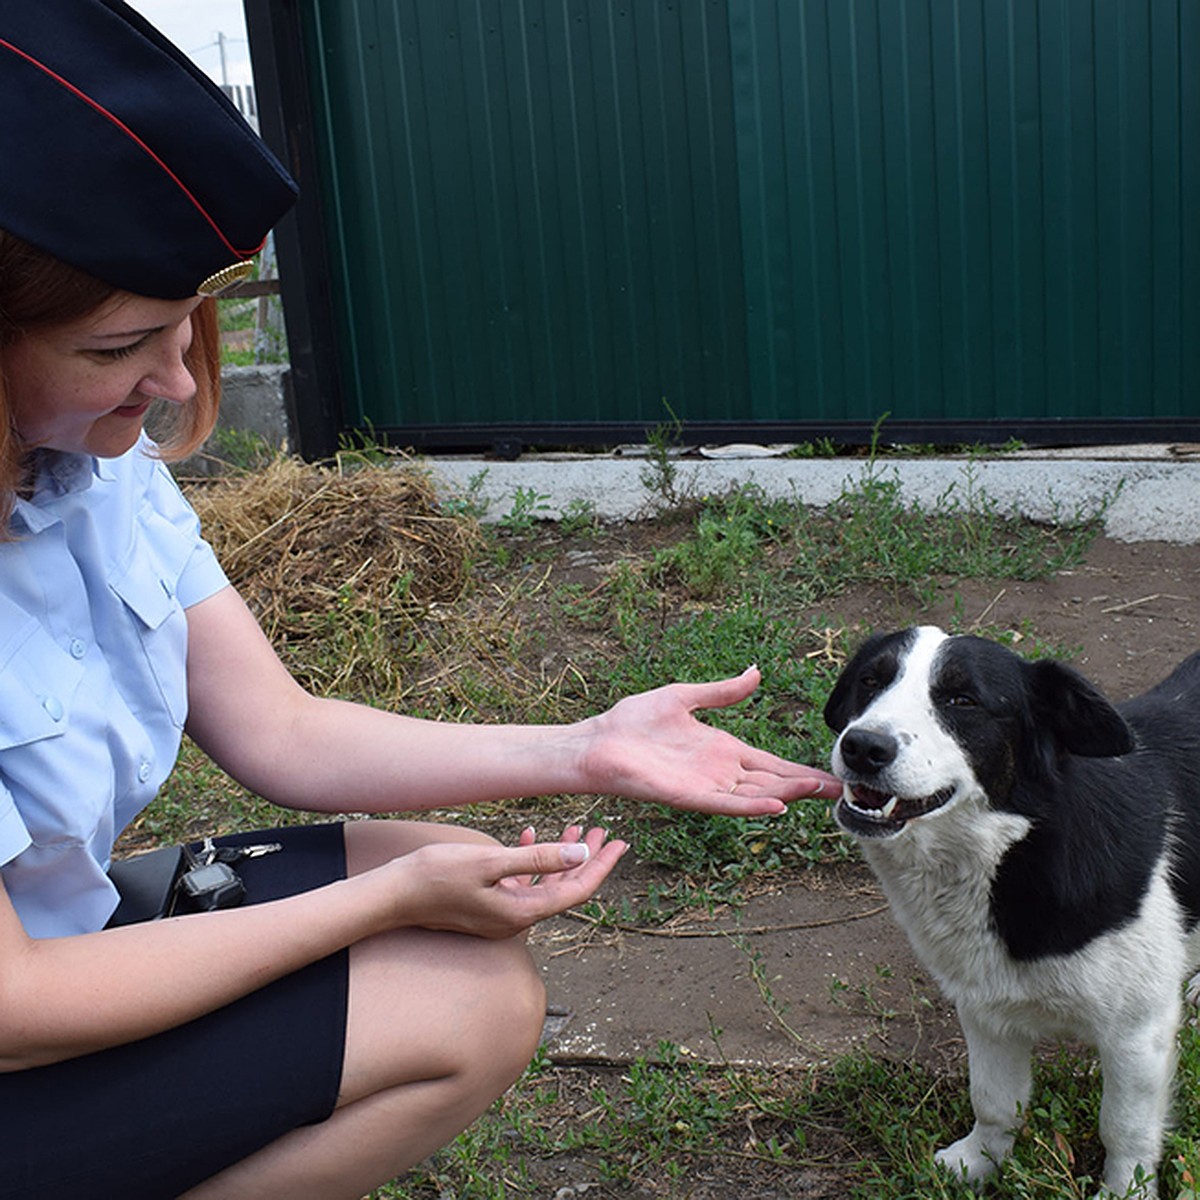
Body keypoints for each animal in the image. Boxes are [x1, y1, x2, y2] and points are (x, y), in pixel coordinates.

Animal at [820, 624, 1200, 1195]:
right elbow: (996, 1102)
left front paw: (1121, 1192)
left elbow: (1124, 1130)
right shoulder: (986, 1009)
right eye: (870, 680)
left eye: (962, 700)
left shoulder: (1138, 1029)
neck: (1016, 847)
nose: (863, 747)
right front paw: (979, 1163)